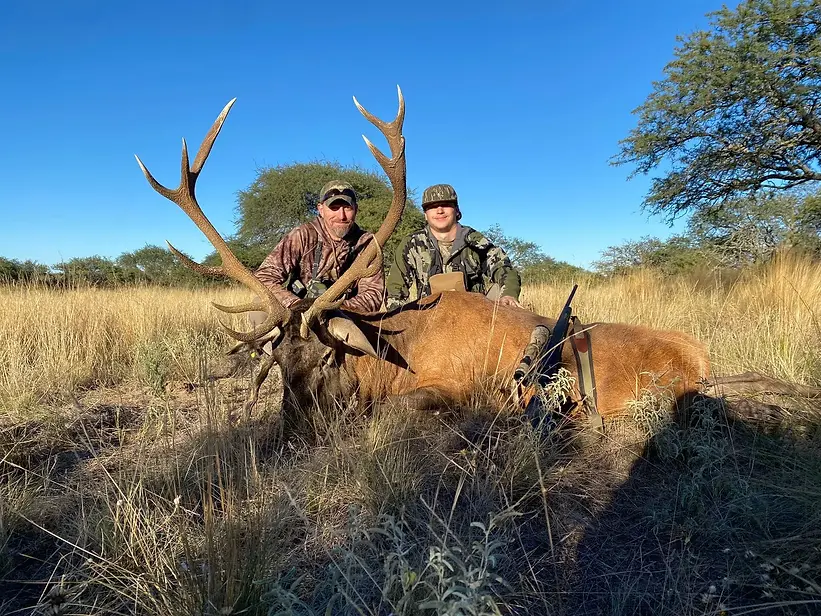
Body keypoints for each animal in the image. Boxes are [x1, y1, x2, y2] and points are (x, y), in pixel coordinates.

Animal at [135, 88, 821, 429]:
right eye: (279, 362)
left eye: (330, 357)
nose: (295, 429)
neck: (390, 357)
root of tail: (703, 361)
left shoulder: (455, 387)